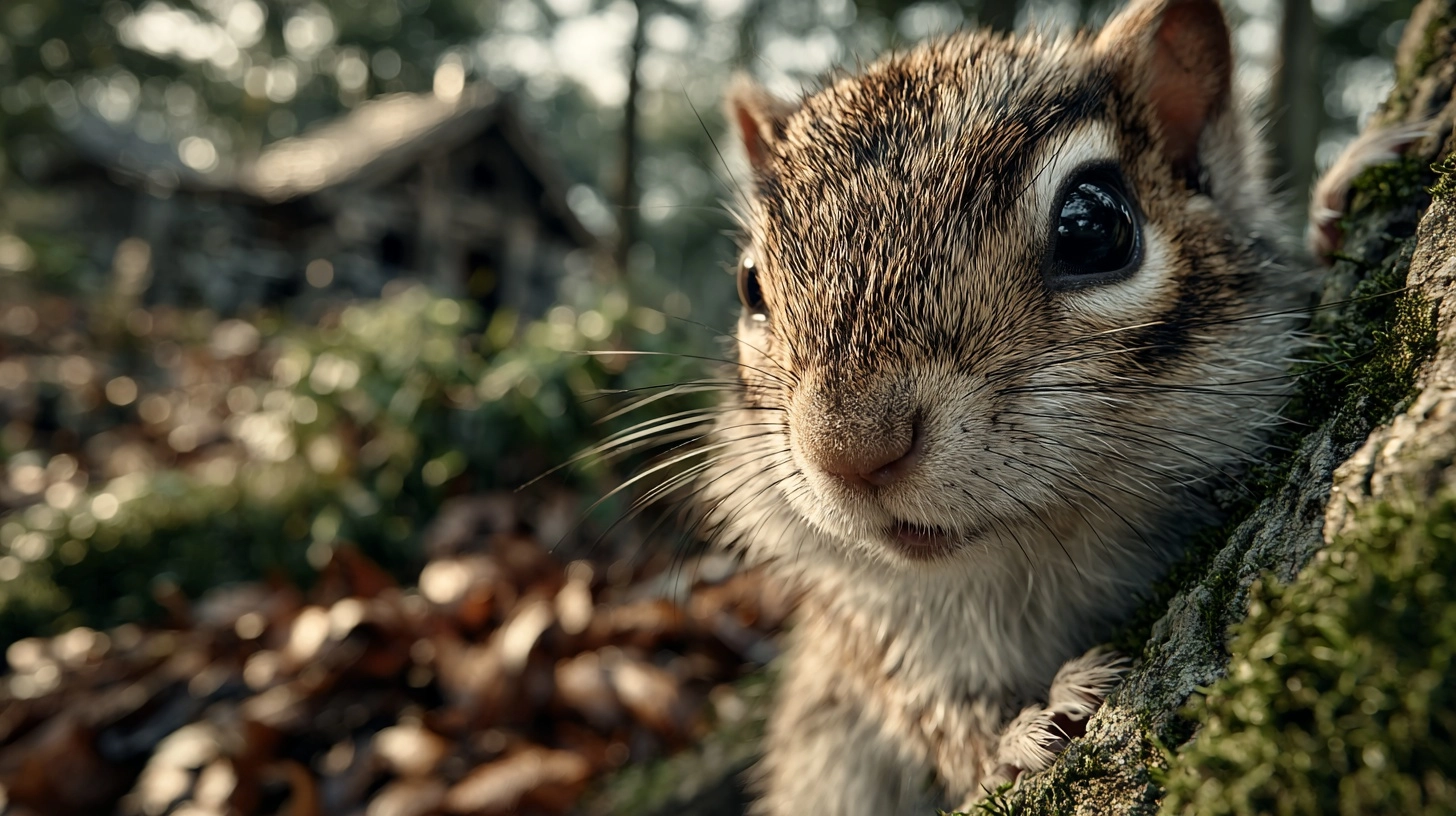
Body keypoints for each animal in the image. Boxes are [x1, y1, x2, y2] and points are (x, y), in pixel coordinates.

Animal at [664, 0, 1426, 812]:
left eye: (1093, 226)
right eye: (749, 283)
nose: (849, 447)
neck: (1040, 561)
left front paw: (1337, 210)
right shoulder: (868, 644)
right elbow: (931, 715)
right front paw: (1020, 733)